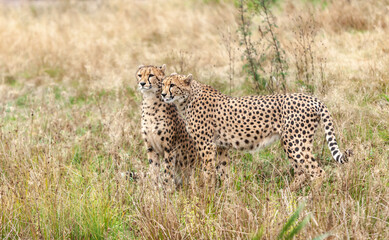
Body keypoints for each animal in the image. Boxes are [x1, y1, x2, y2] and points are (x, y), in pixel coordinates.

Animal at [162, 73, 350, 191]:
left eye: (172, 85)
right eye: (162, 84)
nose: (163, 94)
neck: (187, 98)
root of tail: (312, 98)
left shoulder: (207, 145)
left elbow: (209, 172)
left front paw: (207, 196)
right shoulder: (221, 147)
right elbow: (224, 172)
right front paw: (226, 196)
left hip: (295, 141)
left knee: (317, 172)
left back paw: (313, 199)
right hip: (293, 142)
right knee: (302, 172)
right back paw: (287, 194)